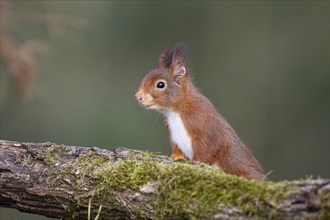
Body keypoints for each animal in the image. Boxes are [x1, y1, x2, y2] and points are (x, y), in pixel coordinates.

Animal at [135, 43, 266, 180]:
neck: (175, 110)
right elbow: (176, 146)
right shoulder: (171, 129)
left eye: (160, 85)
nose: (138, 96)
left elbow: (208, 149)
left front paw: (196, 162)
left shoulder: (203, 125)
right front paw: (177, 156)